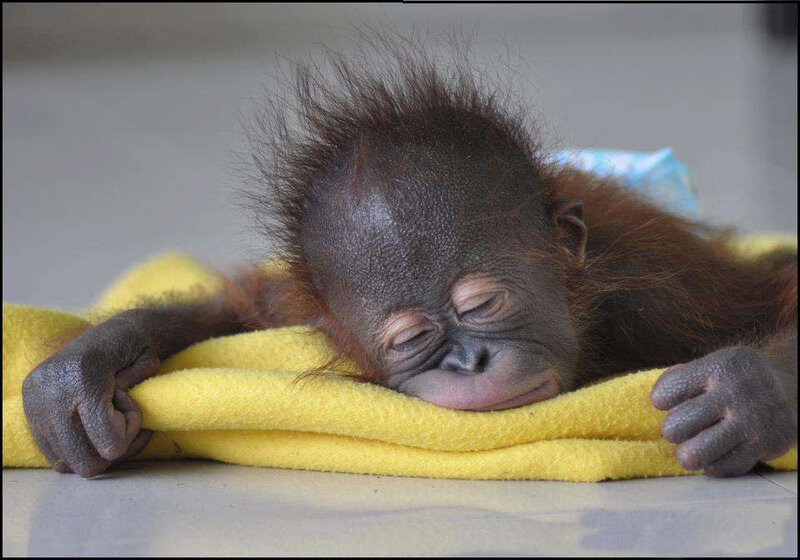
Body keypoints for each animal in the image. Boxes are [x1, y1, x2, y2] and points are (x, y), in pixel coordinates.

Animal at [21, 35, 797, 480]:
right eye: (410, 340)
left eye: (484, 304)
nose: (469, 362)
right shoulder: (302, 305)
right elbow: (239, 307)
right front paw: (81, 372)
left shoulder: (663, 288)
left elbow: (775, 289)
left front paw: (748, 394)